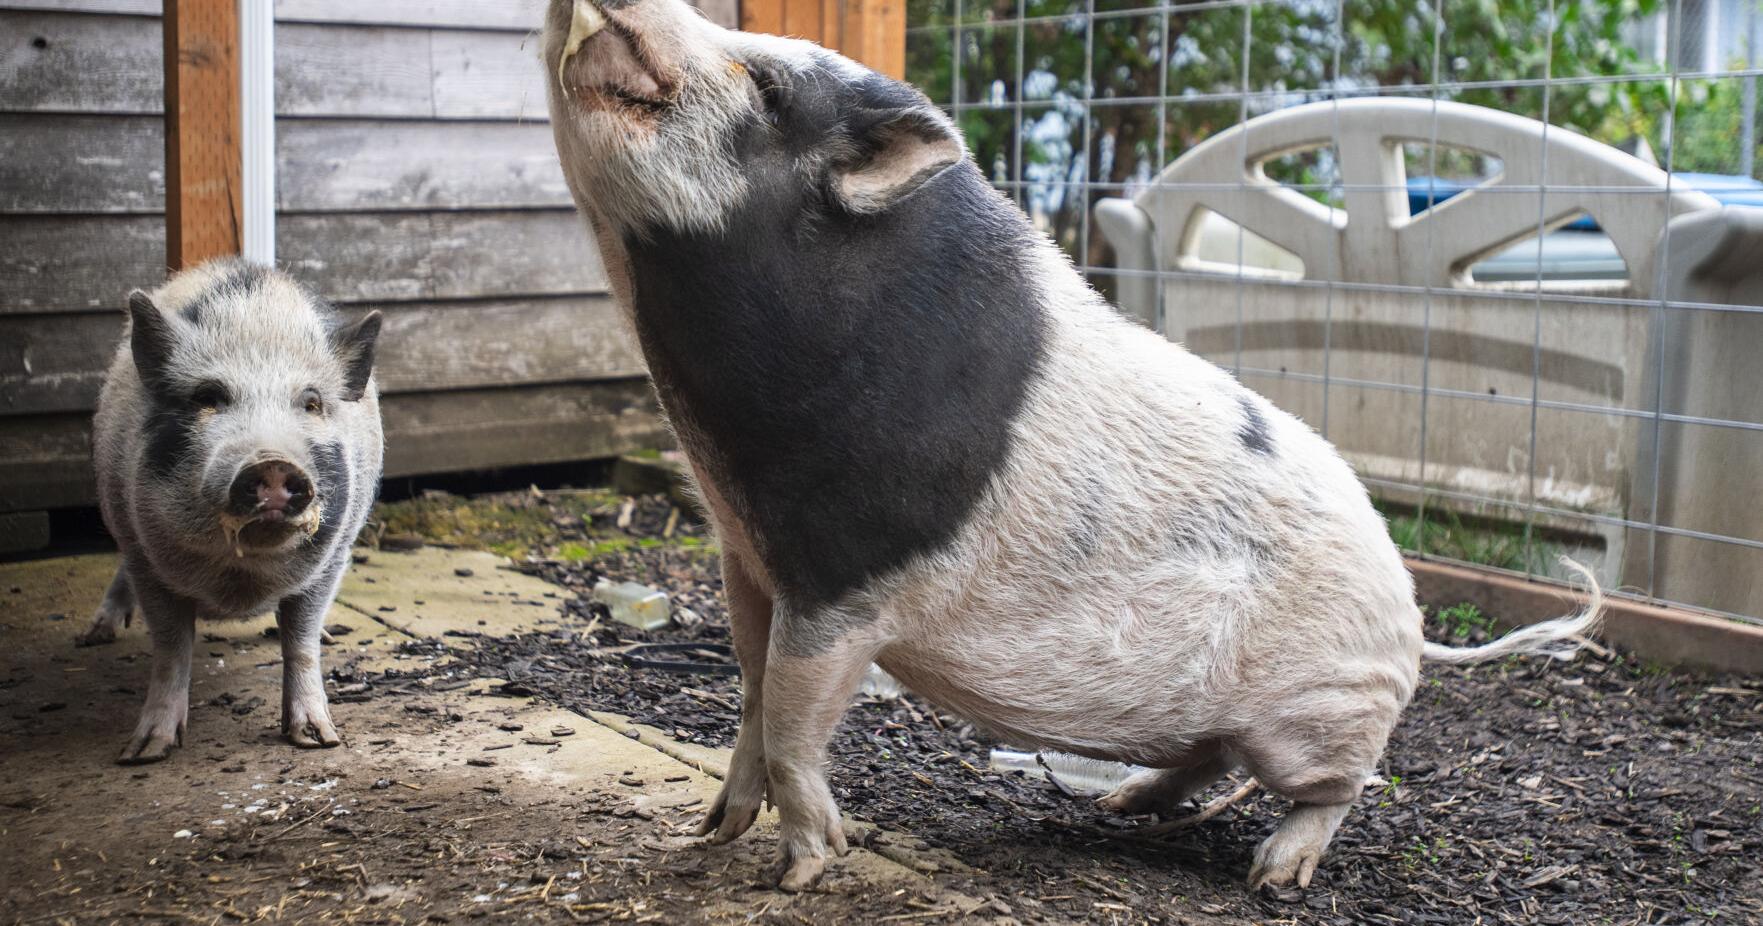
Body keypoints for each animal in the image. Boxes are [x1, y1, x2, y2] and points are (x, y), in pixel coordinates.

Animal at [78, 259, 383, 765]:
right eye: (208, 397)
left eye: (312, 402)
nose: (273, 461)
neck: (239, 582)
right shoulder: (146, 558)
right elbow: (171, 647)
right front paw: (145, 751)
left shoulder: (332, 557)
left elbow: (300, 640)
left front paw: (319, 739)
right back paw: (96, 635)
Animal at [540, 0, 1604, 891]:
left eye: (764, 86)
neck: (729, 465)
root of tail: (1412, 605)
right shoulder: (748, 555)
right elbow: (752, 696)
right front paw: (708, 832)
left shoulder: (848, 577)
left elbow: (796, 720)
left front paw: (800, 874)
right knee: (1205, 755)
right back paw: (1123, 802)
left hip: (1323, 708)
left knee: (1336, 787)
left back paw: (1272, 876)